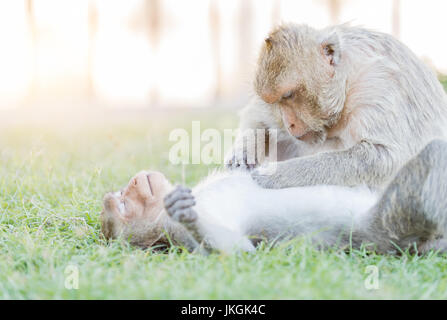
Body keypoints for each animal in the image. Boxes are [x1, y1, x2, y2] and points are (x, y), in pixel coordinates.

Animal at [100, 140, 447, 255]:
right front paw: (187, 214)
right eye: (124, 204)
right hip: (390, 224)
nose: (133, 181)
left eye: (121, 195)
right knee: (434, 152)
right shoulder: (176, 233)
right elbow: (236, 250)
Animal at [226, 24, 447, 190]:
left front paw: (279, 174)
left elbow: (384, 158)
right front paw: (245, 151)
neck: (347, 84)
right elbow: (257, 115)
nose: (289, 124)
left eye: (288, 96)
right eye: (276, 102)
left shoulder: (378, 85)